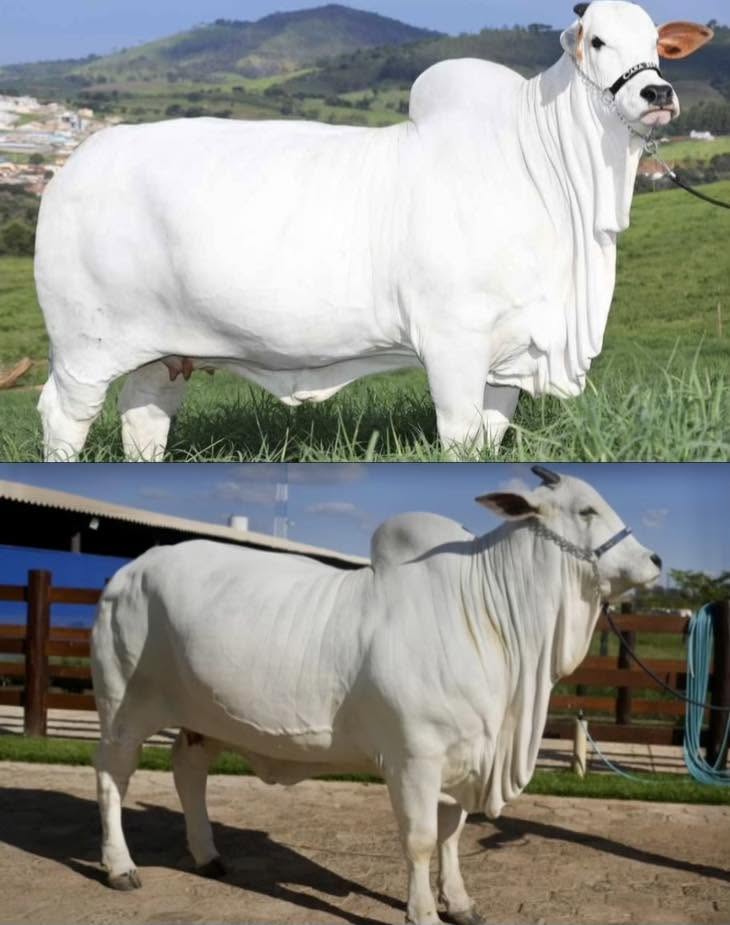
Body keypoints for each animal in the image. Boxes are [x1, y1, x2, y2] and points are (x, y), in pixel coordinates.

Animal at [34, 4, 712, 460]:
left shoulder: (510, 355)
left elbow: (488, 439)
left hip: (166, 351)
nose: (657, 92)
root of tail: (76, 164)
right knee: (63, 415)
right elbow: (459, 437)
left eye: (657, 42)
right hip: (84, 346)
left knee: (143, 417)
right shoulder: (453, 343)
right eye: (597, 40)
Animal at [91, 466, 662, 923]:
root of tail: (129, 570)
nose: (655, 559)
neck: (489, 615)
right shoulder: (415, 757)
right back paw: (120, 866)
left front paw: (459, 902)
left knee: (187, 770)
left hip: (201, 717)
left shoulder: (462, 757)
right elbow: (421, 839)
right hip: (124, 708)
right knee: (112, 775)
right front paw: (423, 913)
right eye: (587, 509)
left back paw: (207, 855)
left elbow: (452, 833)